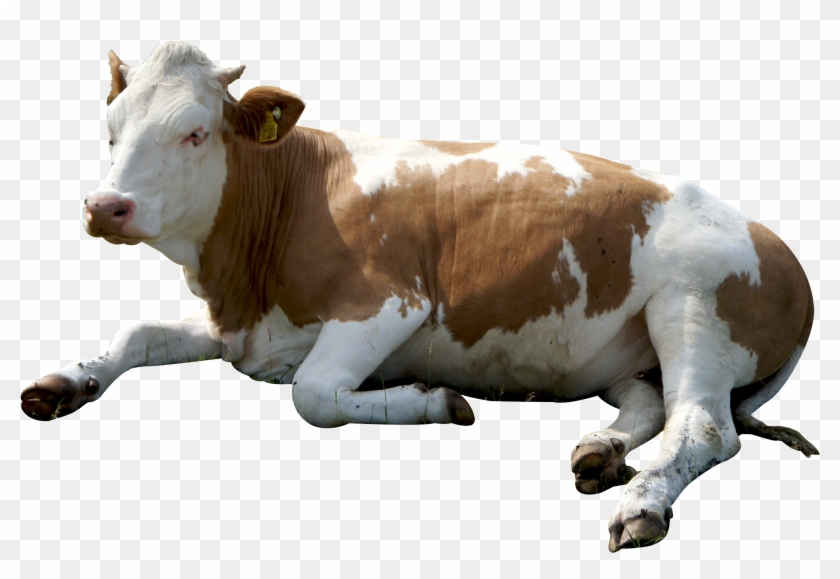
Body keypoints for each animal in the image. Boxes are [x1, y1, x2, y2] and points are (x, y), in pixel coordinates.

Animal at [21, 42, 818, 552]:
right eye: (111, 130)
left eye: (194, 133)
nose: (105, 206)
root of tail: (781, 249)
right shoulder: (244, 325)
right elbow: (136, 333)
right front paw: (63, 382)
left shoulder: (390, 304)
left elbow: (312, 395)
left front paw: (434, 400)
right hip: (631, 348)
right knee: (651, 404)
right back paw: (600, 451)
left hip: (694, 306)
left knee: (705, 428)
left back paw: (644, 502)